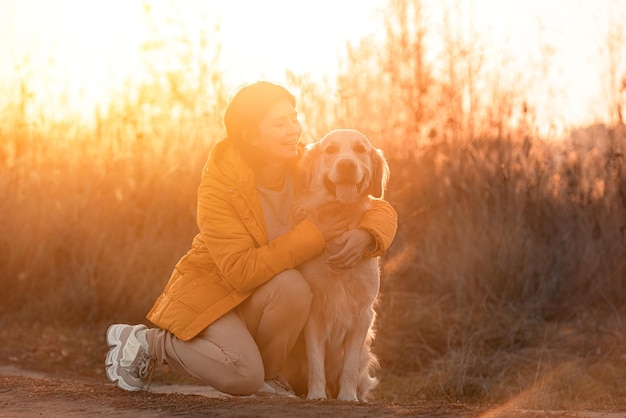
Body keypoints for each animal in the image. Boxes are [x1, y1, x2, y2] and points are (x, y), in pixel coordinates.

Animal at [292, 128, 388, 402]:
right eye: (330, 150)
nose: (347, 165)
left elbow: (349, 365)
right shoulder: (314, 311)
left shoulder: (363, 313)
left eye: (360, 149)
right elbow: (316, 362)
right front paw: (316, 395)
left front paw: (348, 397)